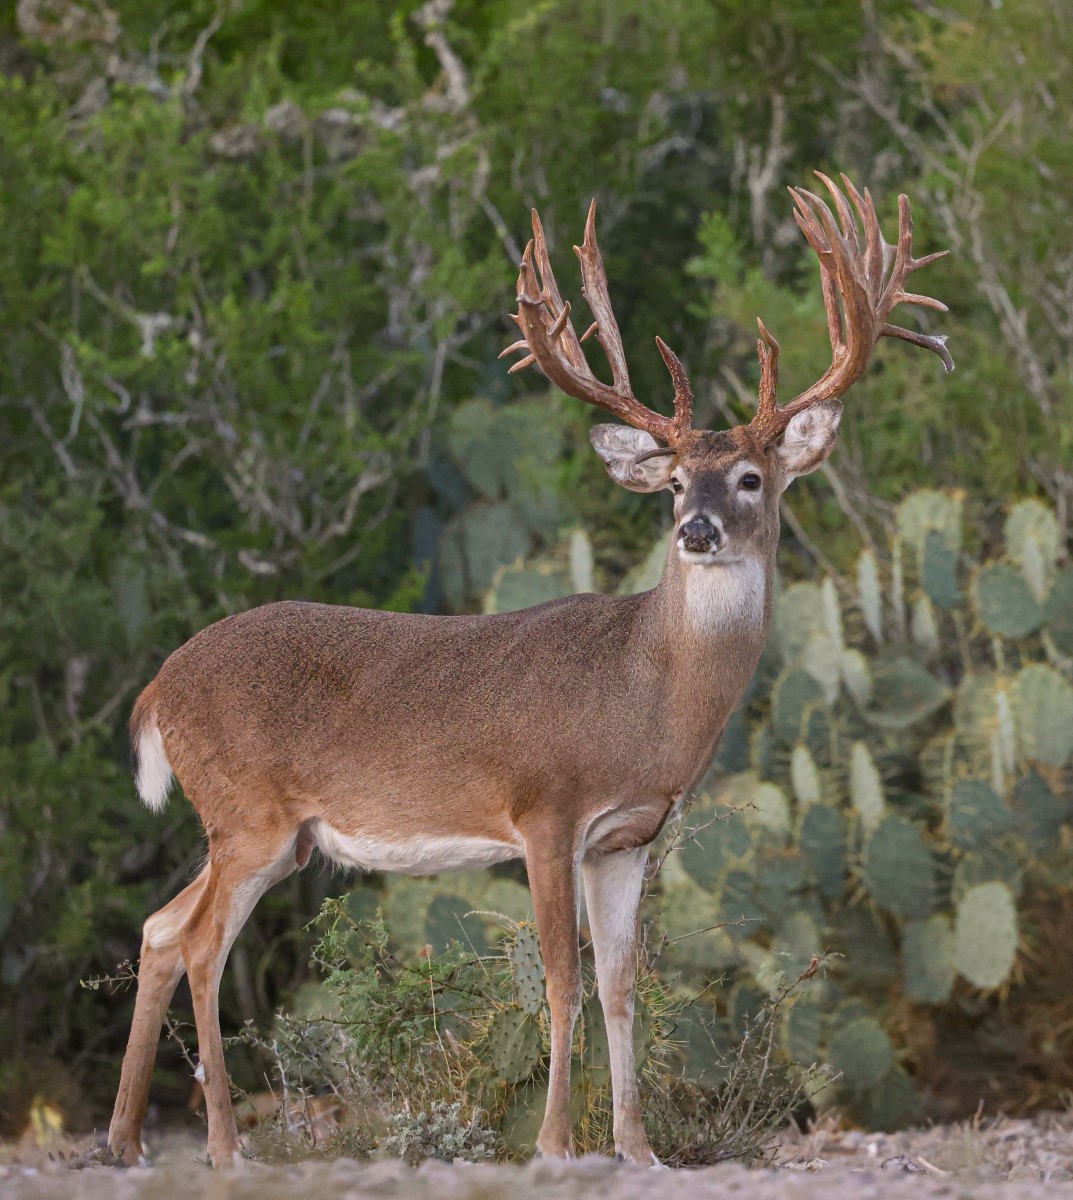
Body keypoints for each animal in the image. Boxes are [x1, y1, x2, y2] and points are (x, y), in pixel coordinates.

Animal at [106, 173, 951, 1169]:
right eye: (674, 483)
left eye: (749, 477)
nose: (695, 530)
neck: (644, 695)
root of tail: (158, 689)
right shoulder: (545, 809)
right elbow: (559, 980)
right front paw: (553, 1143)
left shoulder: (628, 835)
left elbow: (623, 984)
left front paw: (636, 1148)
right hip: (248, 814)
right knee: (201, 943)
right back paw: (224, 1147)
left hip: (269, 833)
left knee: (162, 927)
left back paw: (125, 1138)